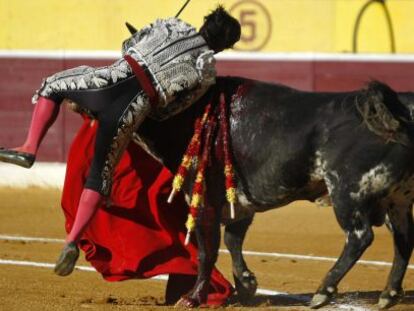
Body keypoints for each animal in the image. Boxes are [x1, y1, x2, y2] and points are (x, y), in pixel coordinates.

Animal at [136, 77, 414, 310]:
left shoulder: (204, 200)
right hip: (398, 200)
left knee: (360, 237)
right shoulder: (240, 202)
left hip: (347, 192)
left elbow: (207, 250)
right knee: (403, 239)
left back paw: (323, 292)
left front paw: (193, 297)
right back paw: (388, 295)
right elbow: (232, 239)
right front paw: (246, 285)